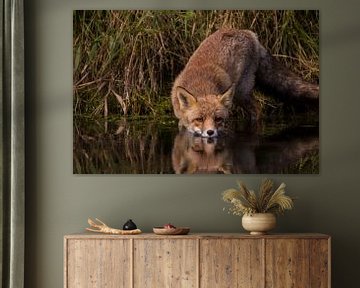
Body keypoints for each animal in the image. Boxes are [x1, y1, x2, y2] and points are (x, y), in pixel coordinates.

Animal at [171, 27, 318, 137]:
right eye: (199, 119)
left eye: (218, 119)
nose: (210, 132)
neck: (202, 86)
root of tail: (249, 33)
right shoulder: (180, 118)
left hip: (241, 93)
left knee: (257, 109)